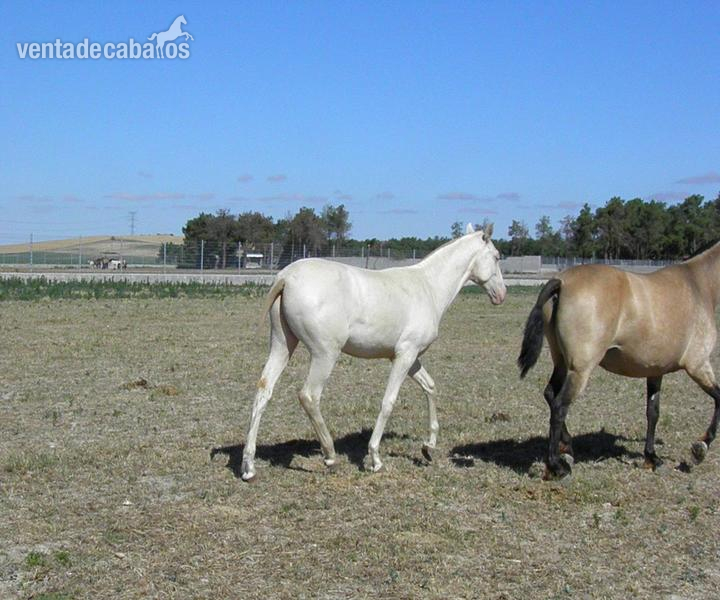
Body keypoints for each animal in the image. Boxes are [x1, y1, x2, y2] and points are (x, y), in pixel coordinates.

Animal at [240, 224, 506, 481]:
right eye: (496, 256)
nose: (502, 295)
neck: (427, 287)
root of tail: (286, 278)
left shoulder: (411, 359)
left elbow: (430, 387)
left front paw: (428, 448)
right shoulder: (404, 356)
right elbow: (388, 402)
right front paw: (375, 459)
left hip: (283, 345)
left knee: (263, 391)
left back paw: (249, 467)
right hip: (325, 354)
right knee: (309, 396)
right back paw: (330, 456)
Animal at [518, 243, 720, 479]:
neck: (699, 284)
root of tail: (562, 282)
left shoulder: (655, 371)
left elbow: (653, 412)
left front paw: (651, 457)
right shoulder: (698, 365)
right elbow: (719, 399)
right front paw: (700, 448)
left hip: (561, 362)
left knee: (550, 394)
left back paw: (566, 449)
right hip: (580, 370)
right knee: (559, 407)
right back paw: (557, 466)